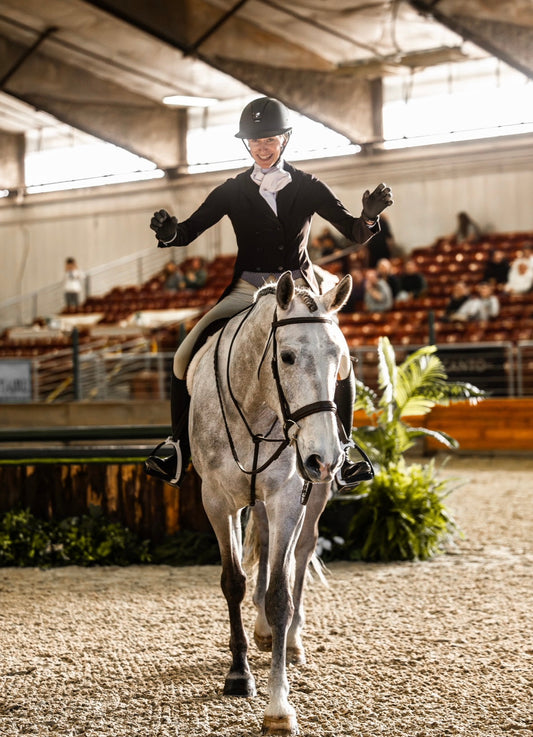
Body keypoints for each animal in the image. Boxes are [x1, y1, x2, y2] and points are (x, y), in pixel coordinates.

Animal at [187, 271, 352, 736]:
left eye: (339, 358)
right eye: (288, 357)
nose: (325, 458)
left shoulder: (287, 499)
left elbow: (281, 594)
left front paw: (279, 707)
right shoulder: (217, 500)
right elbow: (234, 581)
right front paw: (239, 675)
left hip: (310, 497)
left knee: (299, 553)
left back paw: (290, 640)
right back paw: (260, 634)